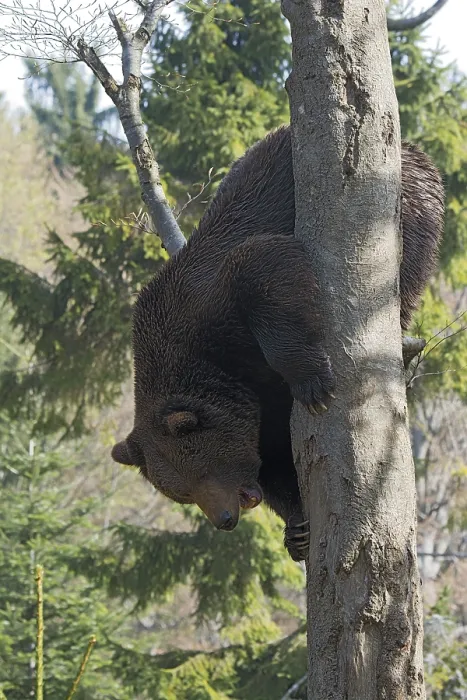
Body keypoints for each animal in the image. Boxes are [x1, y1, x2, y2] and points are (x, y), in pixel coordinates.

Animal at [111, 126, 444, 562]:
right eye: (182, 493)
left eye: (202, 471)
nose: (225, 519)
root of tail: (413, 149)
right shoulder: (256, 405)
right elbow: (276, 457)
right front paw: (297, 530)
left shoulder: (220, 301)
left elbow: (267, 270)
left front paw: (314, 384)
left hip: (402, 203)